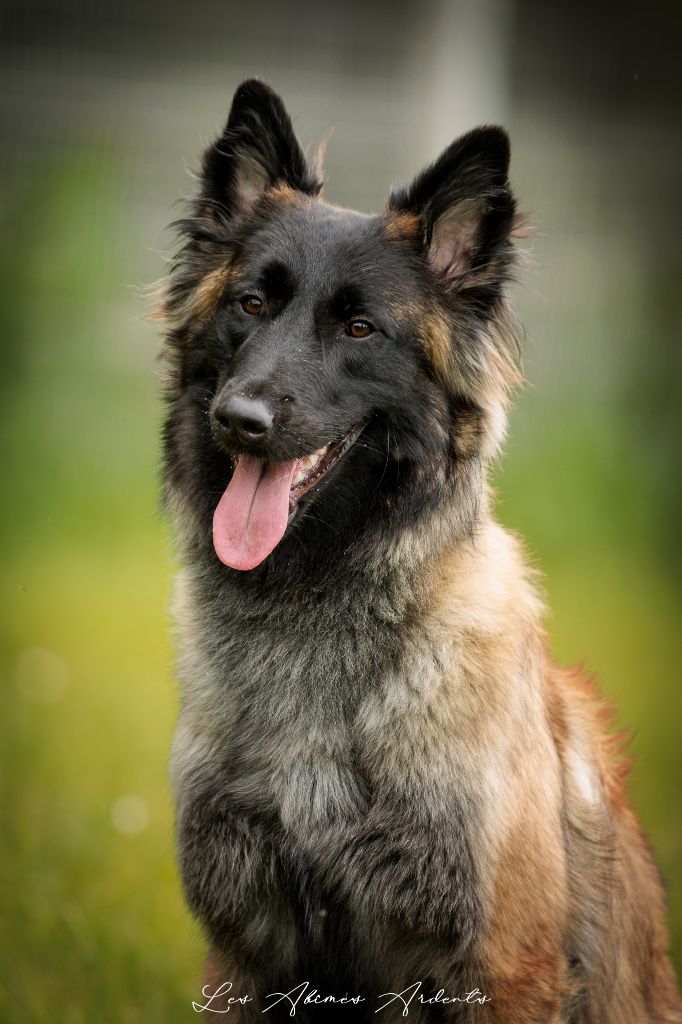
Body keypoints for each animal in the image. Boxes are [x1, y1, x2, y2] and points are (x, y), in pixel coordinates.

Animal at [155, 75, 679, 1019]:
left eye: (360, 330)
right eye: (252, 303)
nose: (240, 421)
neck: (313, 617)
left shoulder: (499, 969)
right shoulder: (242, 954)